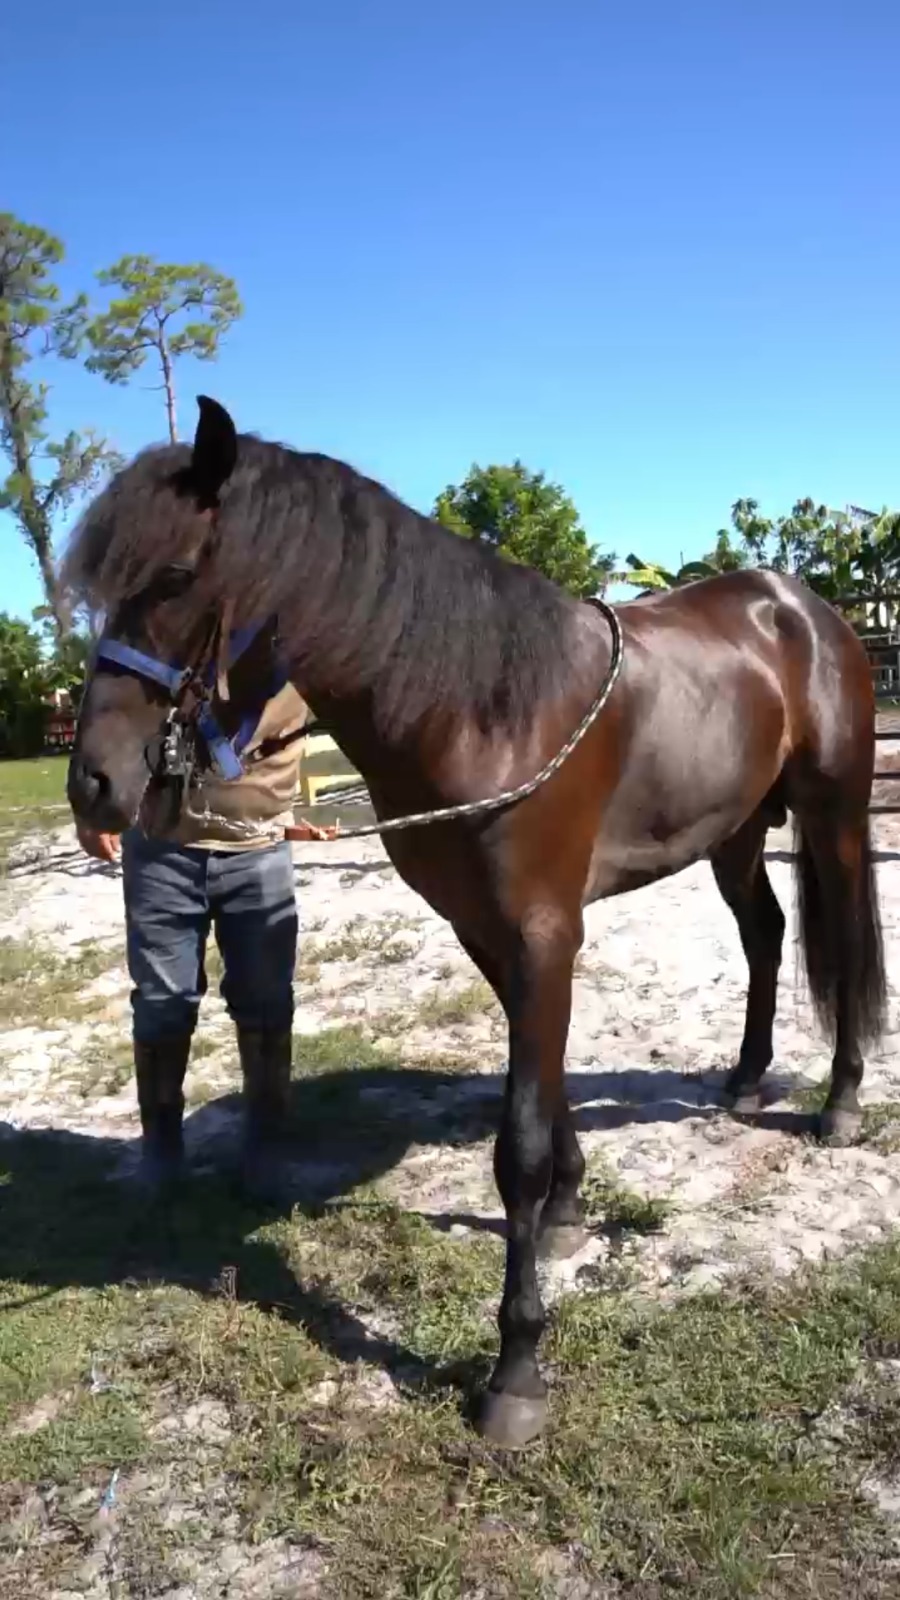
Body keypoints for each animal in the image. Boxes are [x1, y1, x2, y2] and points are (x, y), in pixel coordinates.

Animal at [62, 395, 886, 1449]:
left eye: (172, 578)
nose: (94, 784)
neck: (481, 707)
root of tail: (802, 606)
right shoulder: (489, 934)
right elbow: (549, 1093)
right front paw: (571, 1208)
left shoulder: (544, 935)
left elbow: (517, 1144)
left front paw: (516, 1369)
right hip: (733, 831)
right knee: (766, 936)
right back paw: (745, 1081)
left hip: (833, 816)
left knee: (846, 945)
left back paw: (841, 1102)